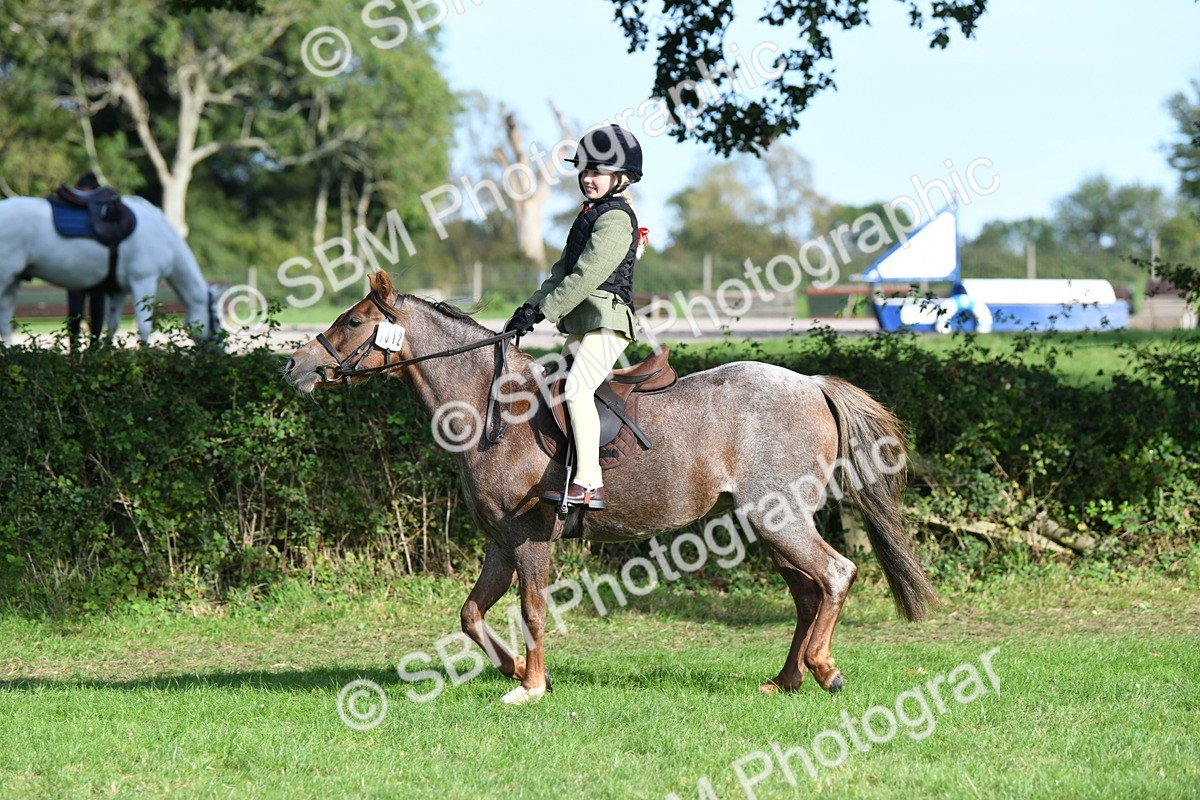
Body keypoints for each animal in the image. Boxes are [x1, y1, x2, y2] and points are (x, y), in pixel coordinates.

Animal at [0, 195, 220, 345]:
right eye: (216, 319)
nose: (220, 352)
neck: (165, 238)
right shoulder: (144, 281)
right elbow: (144, 327)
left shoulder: (118, 290)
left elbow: (112, 327)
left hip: (13, 282)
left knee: (4, 323)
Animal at [283, 269, 936, 705]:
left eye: (352, 322)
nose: (292, 366)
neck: (492, 408)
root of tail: (810, 383)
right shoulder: (499, 542)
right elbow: (470, 614)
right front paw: (515, 670)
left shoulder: (529, 538)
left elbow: (532, 610)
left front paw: (530, 686)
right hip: (767, 522)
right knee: (806, 594)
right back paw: (785, 679)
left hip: (781, 518)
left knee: (834, 575)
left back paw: (824, 669)